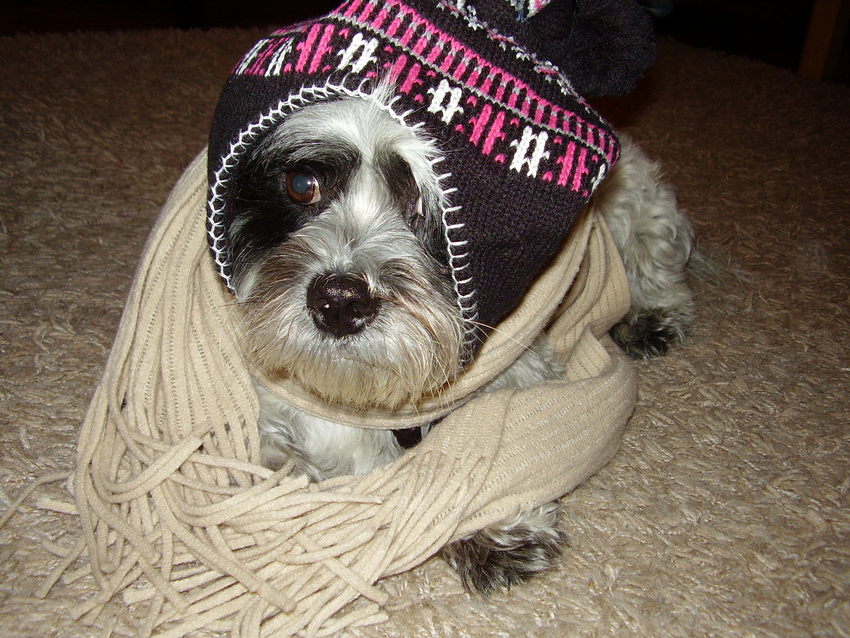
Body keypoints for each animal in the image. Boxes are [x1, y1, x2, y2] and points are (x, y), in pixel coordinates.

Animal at [223, 89, 694, 593]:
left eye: (428, 205)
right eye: (302, 184)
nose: (339, 302)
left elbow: (482, 442)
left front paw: (491, 523)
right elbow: (264, 451)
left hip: (635, 213)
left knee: (654, 263)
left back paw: (652, 316)